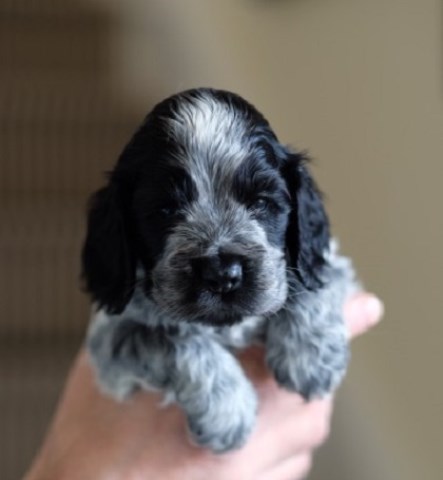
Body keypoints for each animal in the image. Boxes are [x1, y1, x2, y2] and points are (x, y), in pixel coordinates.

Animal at [83, 87, 360, 454]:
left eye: (261, 203)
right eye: (164, 210)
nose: (222, 274)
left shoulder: (330, 262)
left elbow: (311, 281)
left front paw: (310, 357)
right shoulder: (110, 341)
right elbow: (170, 340)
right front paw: (228, 412)